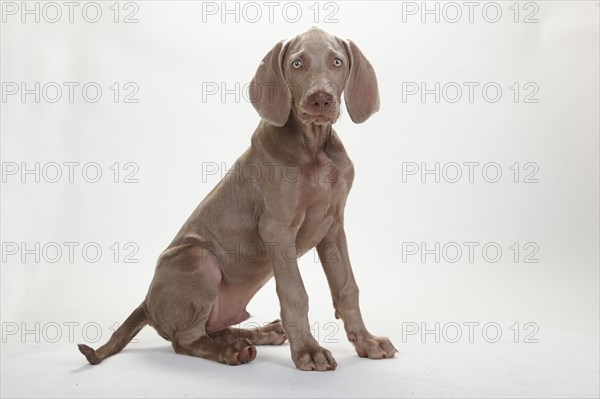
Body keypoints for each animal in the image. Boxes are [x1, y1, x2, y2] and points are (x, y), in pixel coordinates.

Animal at [79, 27, 398, 372]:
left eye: (337, 62)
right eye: (297, 64)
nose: (321, 99)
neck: (313, 147)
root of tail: (147, 303)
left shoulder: (333, 226)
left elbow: (347, 288)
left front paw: (367, 342)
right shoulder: (276, 228)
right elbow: (295, 293)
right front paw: (308, 351)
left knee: (215, 328)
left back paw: (260, 334)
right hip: (197, 259)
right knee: (185, 340)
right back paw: (231, 351)